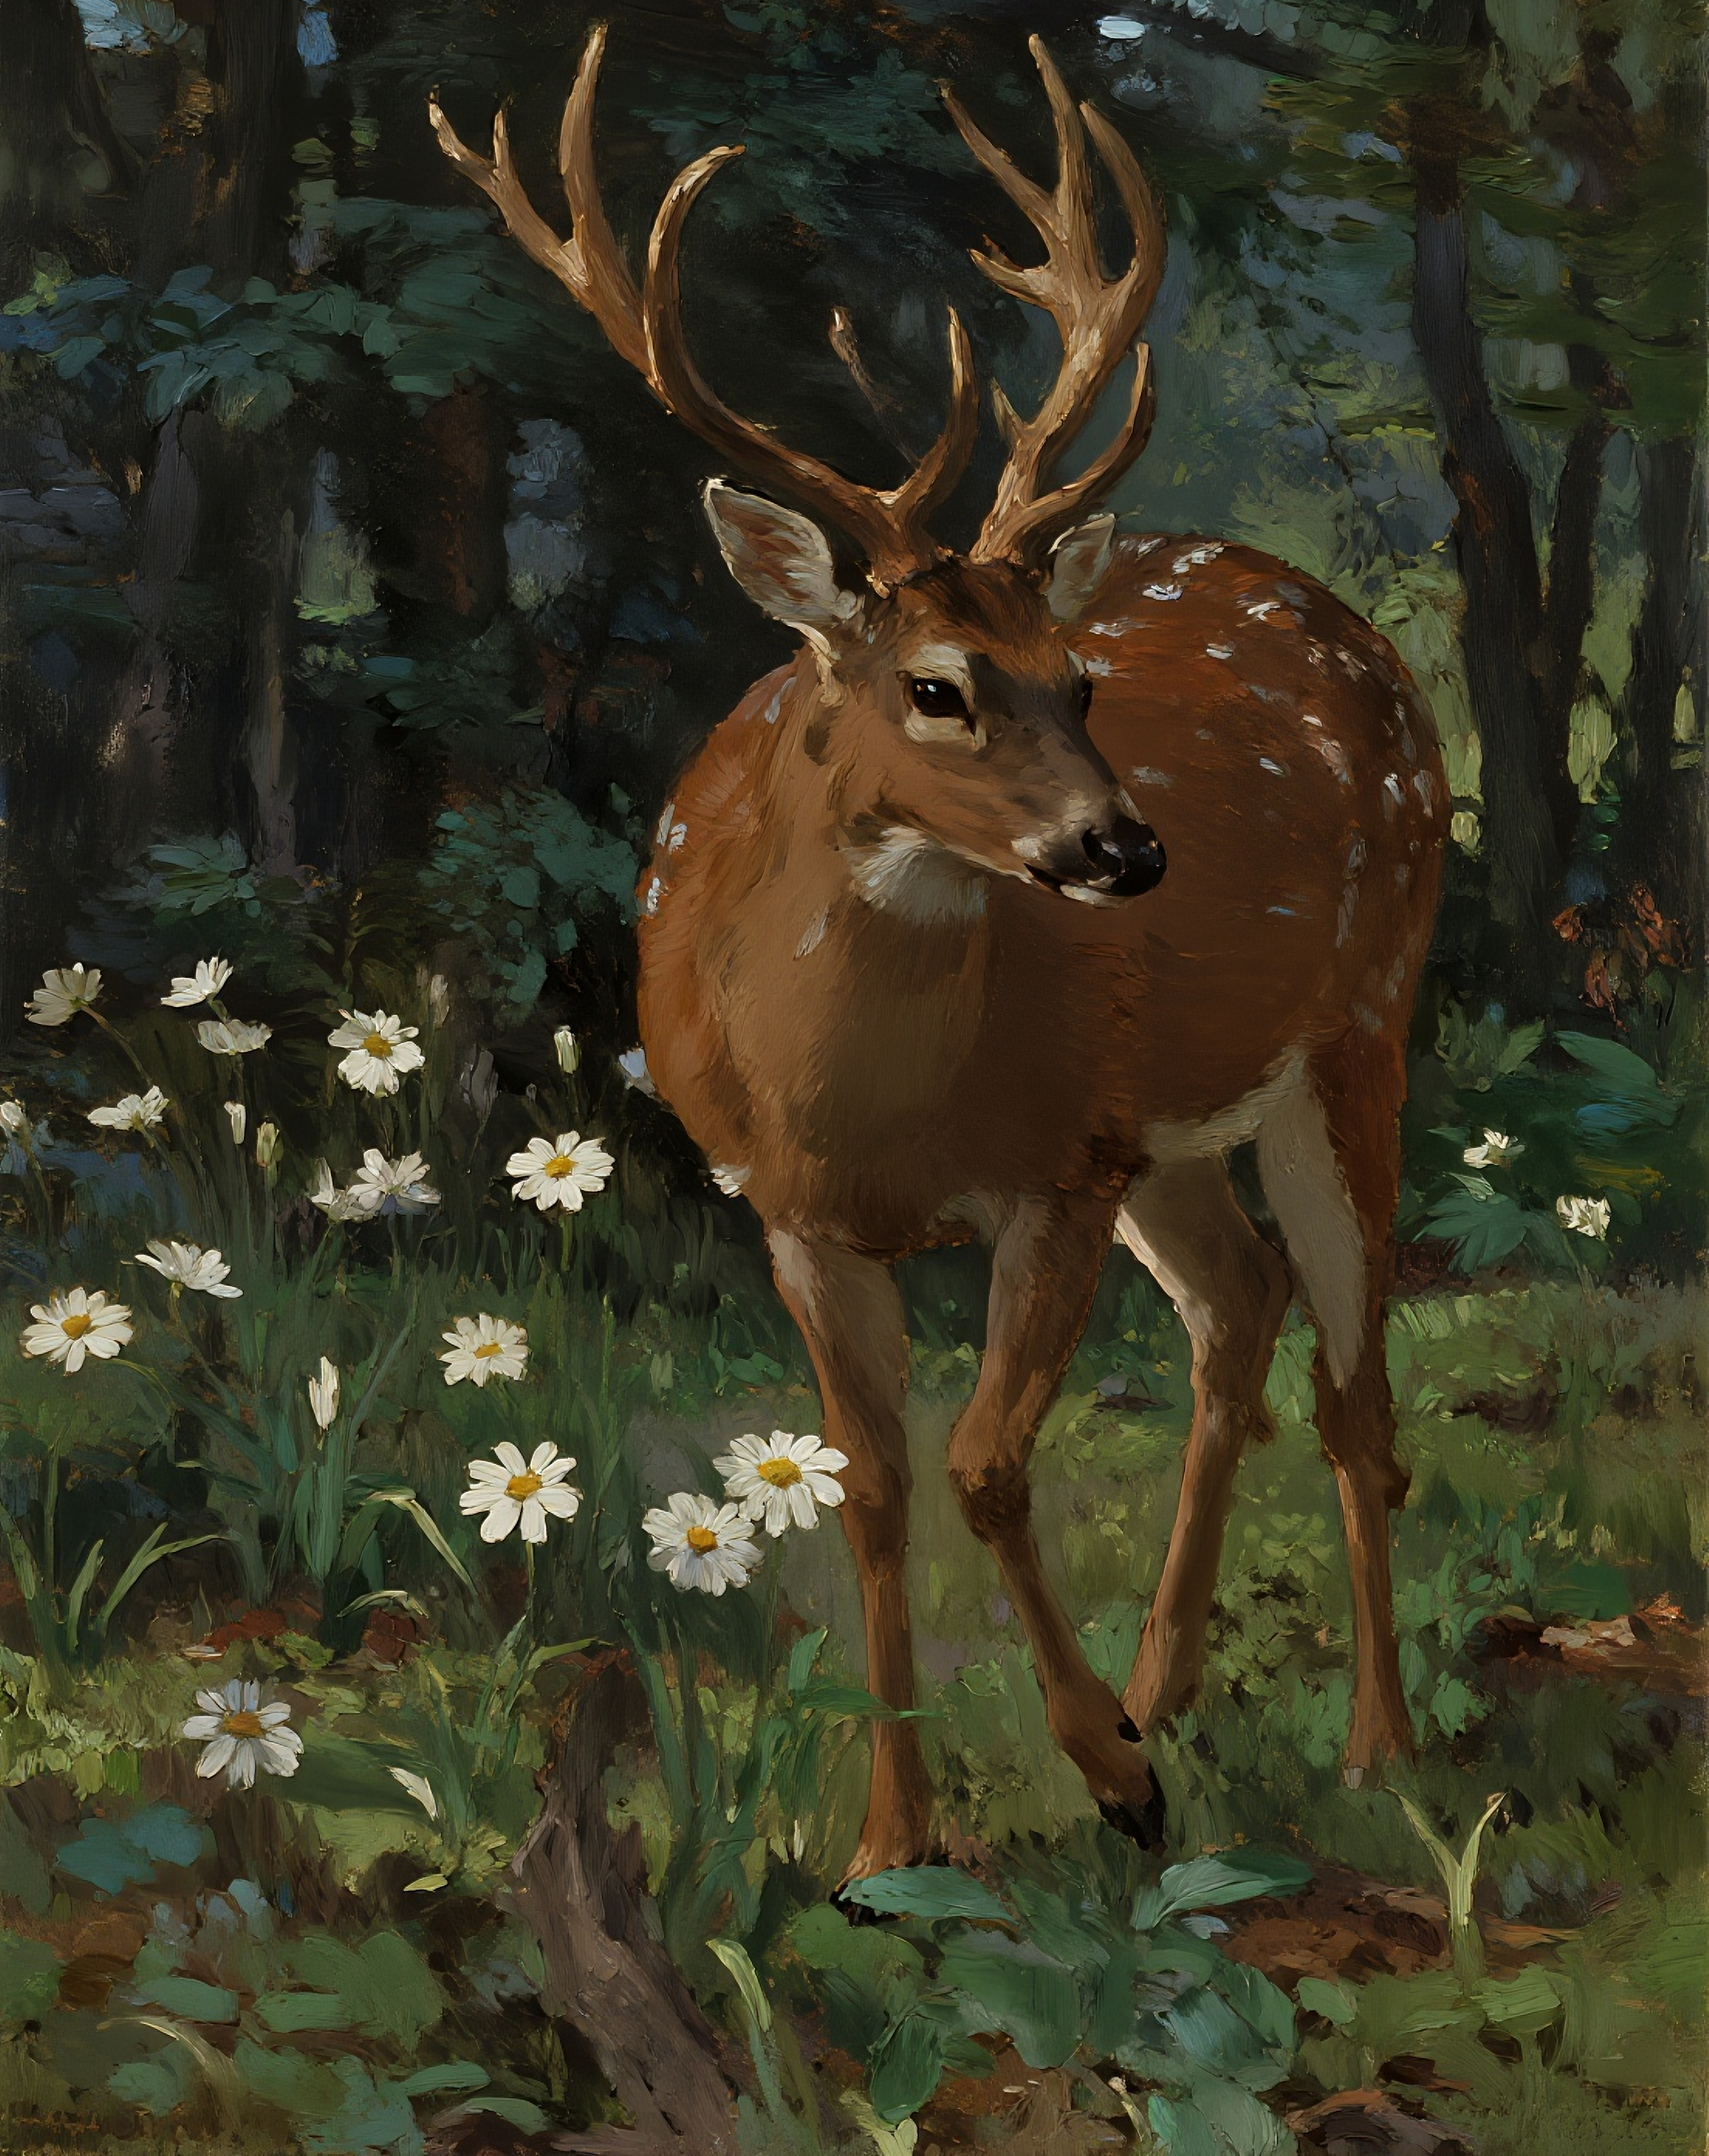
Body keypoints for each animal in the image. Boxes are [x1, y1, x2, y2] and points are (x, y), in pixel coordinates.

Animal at [431, 25, 1445, 1880]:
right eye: (937, 685)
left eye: (1084, 678)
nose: (1128, 851)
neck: (868, 1103)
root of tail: (1356, 634)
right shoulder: (795, 1210)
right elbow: (873, 1484)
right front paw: (893, 1846)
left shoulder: (1057, 1167)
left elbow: (982, 1462)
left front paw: (1107, 1778)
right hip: (1176, 1133)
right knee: (1239, 1308)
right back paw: (1168, 1687)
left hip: (1356, 1028)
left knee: (1354, 1381)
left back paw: (1374, 1747)